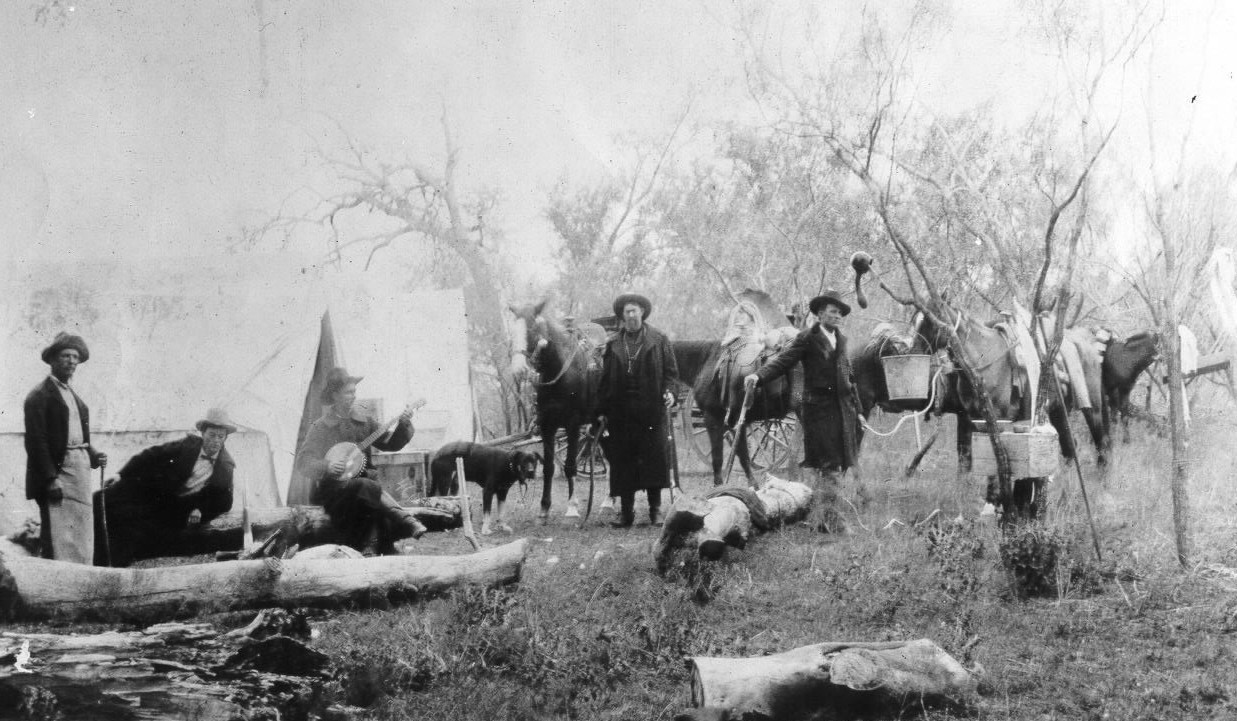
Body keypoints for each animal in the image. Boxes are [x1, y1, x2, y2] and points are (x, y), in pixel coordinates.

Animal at [502, 300, 598, 519]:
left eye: (530, 328)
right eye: (512, 331)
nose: (519, 369)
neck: (561, 372)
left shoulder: (573, 425)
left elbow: (570, 466)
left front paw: (572, 506)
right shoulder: (547, 425)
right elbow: (548, 467)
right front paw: (544, 506)